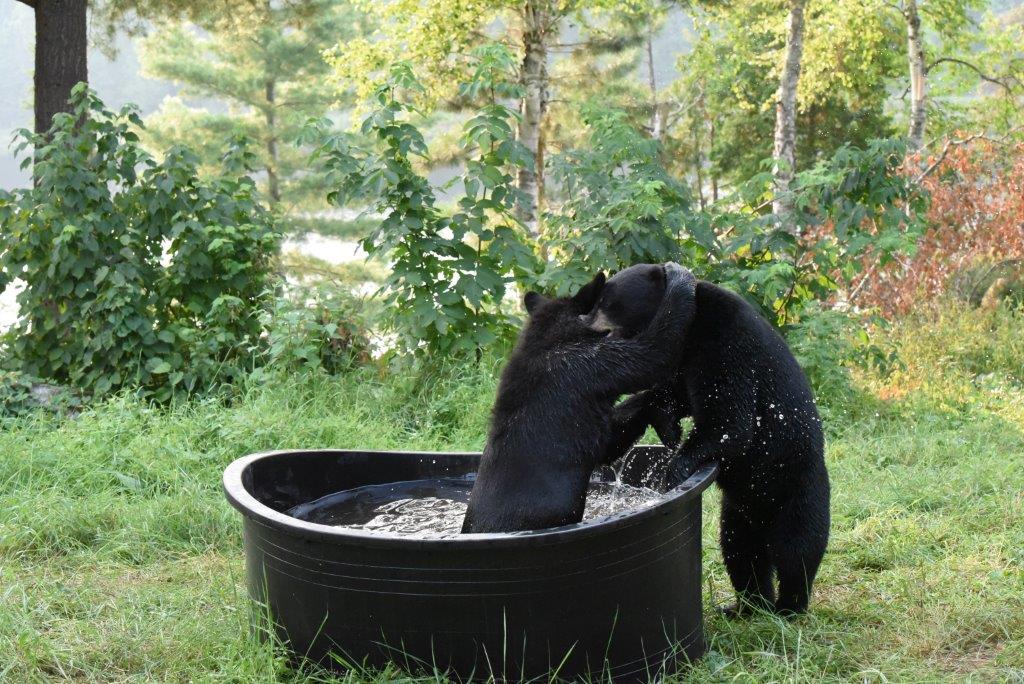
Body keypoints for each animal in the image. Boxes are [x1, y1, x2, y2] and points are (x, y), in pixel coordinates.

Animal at [584, 263, 831, 616]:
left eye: (606, 299)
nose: (585, 324)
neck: (693, 324)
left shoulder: (725, 339)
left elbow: (729, 418)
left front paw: (673, 472)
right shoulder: (684, 356)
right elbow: (669, 394)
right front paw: (660, 426)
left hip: (797, 489)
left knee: (797, 548)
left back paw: (788, 607)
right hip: (738, 512)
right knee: (741, 551)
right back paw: (746, 607)